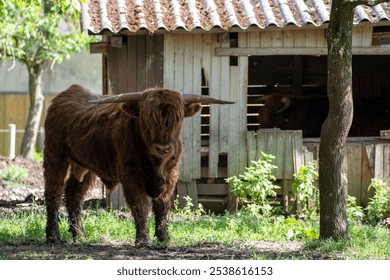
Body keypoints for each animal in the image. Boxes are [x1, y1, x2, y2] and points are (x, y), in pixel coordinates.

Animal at [43, 84, 232, 246]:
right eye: (148, 119)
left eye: (177, 119)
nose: (163, 148)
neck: (156, 163)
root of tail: (67, 93)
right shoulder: (131, 176)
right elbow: (140, 205)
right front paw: (143, 240)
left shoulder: (171, 174)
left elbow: (163, 206)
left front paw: (164, 237)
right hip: (55, 156)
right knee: (54, 192)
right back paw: (54, 236)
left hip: (85, 166)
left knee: (74, 194)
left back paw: (79, 234)